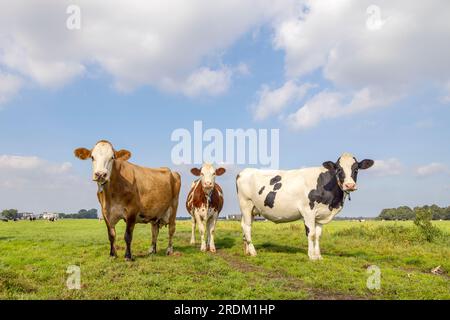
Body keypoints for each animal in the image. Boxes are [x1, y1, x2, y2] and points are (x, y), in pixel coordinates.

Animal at [234, 152, 374, 260]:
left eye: (356, 169)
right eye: (339, 169)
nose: (350, 185)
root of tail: (244, 171)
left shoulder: (320, 215)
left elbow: (318, 235)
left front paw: (319, 256)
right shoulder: (308, 211)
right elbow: (311, 234)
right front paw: (311, 256)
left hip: (252, 209)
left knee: (243, 225)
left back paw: (246, 251)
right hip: (246, 204)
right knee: (247, 227)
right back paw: (253, 252)